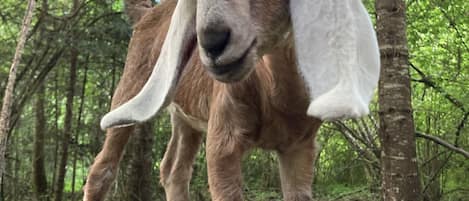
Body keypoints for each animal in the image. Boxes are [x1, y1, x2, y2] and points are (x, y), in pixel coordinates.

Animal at [82, 0, 378, 201]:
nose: (212, 41)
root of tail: (145, 14)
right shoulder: (223, 140)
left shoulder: (300, 146)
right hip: (130, 85)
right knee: (102, 169)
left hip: (186, 118)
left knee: (173, 170)